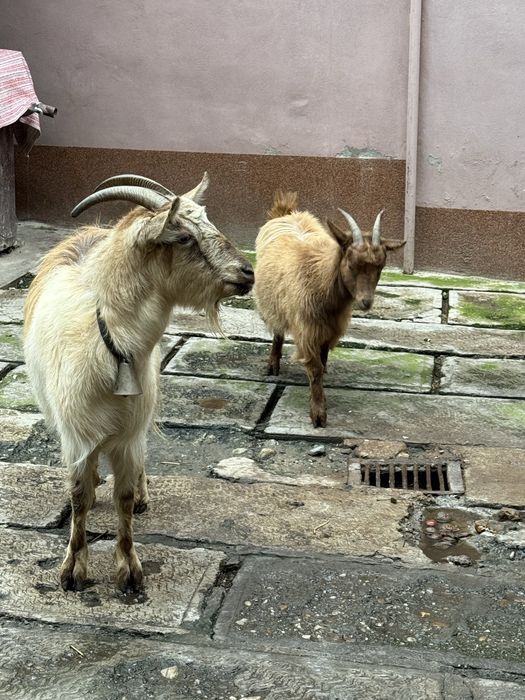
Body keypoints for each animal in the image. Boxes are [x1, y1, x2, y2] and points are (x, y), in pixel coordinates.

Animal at [23, 173, 254, 592]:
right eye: (183, 237)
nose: (249, 273)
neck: (110, 341)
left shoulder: (129, 431)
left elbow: (125, 497)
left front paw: (129, 571)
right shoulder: (75, 433)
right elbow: (78, 496)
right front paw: (71, 571)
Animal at [254, 190, 404, 428]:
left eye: (380, 267)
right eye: (351, 264)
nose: (366, 302)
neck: (320, 279)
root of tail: (286, 213)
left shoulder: (331, 327)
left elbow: (323, 359)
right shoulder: (307, 328)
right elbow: (314, 369)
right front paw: (318, 415)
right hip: (273, 303)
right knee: (277, 330)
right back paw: (273, 366)